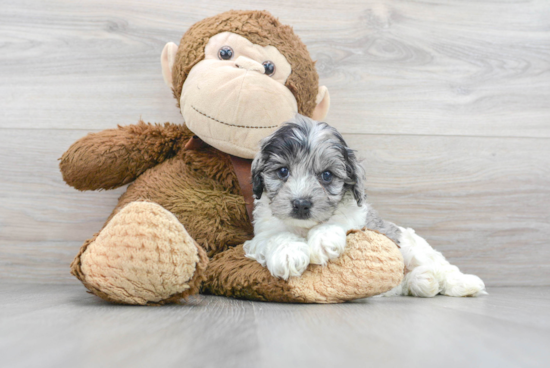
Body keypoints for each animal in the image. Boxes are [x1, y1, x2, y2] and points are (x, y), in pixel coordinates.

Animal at [246, 116, 488, 298]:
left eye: (327, 175)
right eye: (283, 171)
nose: (301, 204)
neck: (304, 228)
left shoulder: (358, 219)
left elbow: (337, 221)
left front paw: (323, 240)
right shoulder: (259, 236)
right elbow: (276, 237)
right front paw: (288, 253)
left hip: (412, 248)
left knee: (442, 267)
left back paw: (465, 284)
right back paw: (424, 280)